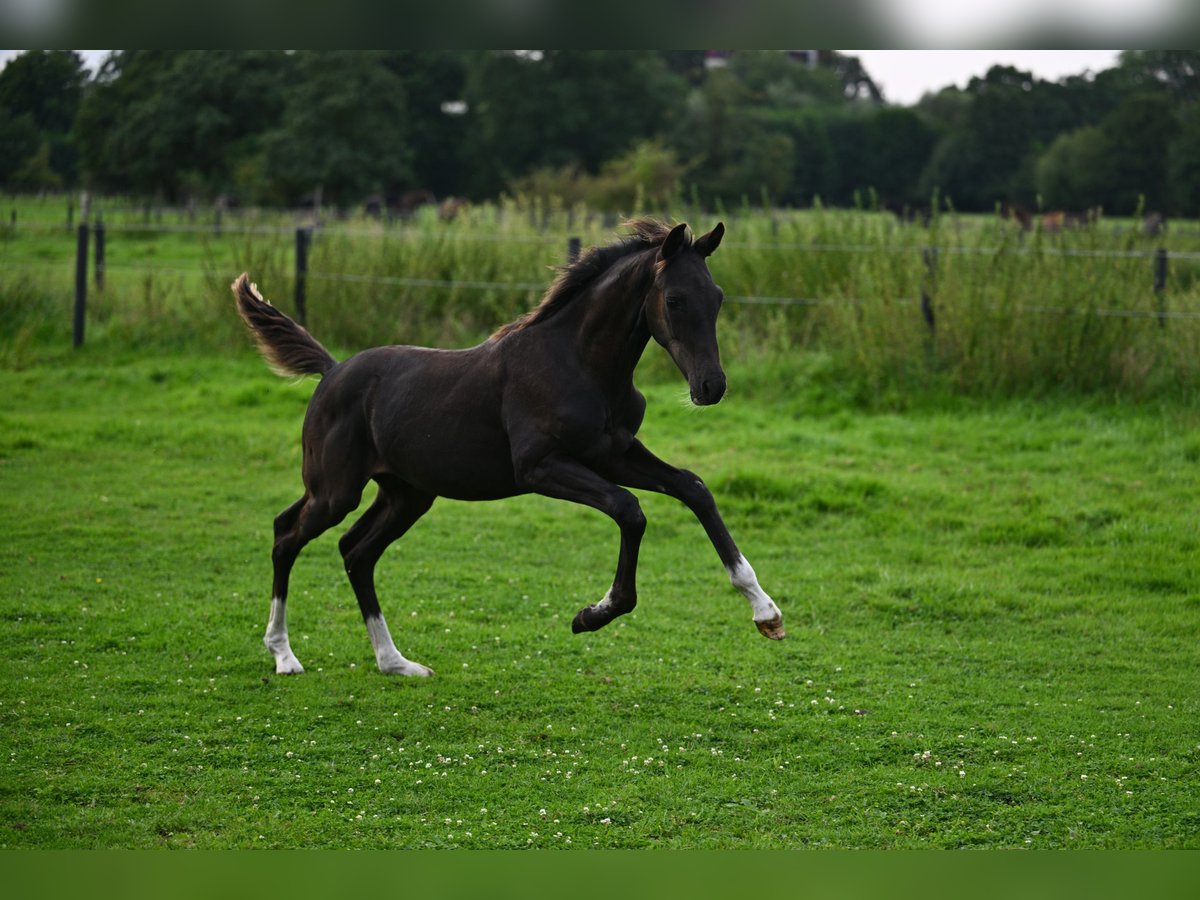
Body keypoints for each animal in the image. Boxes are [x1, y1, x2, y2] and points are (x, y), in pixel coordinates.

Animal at [231, 222, 787, 681]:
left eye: (717, 297)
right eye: (673, 300)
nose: (711, 386)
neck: (579, 362)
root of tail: (332, 370)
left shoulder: (615, 453)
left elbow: (693, 487)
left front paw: (765, 611)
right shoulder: (540, 467)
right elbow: (629, 509)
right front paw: (592, 615)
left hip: (408, 495)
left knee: (355, 551)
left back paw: (395, 662)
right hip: (336, 489)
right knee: (286, 535)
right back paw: (283, 655)